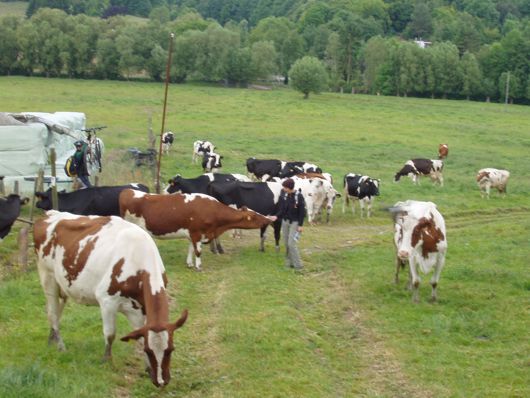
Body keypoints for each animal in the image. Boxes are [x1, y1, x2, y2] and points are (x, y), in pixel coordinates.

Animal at [33, 210, 188, 388]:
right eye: (149, 351)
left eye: (171, 349)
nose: (162, 381)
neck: (138, 259)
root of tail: (50, 214)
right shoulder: (107, 301)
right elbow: (110, 334)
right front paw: (106, 361)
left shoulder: (139, 308)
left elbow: (140, 335)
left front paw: (147, 369)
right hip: (47, 276)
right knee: (52, 313)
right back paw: (60, 346)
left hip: (62, 285)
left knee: (56, 311)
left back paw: (51, 339)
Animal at [119, 190, 272, 270]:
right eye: (254, 216)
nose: (268, 219)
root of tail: (128, 191)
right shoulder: (197, 233)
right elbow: (198, 251)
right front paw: (198, 266)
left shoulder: (191, 234)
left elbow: (191, 250)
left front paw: (190, 263)